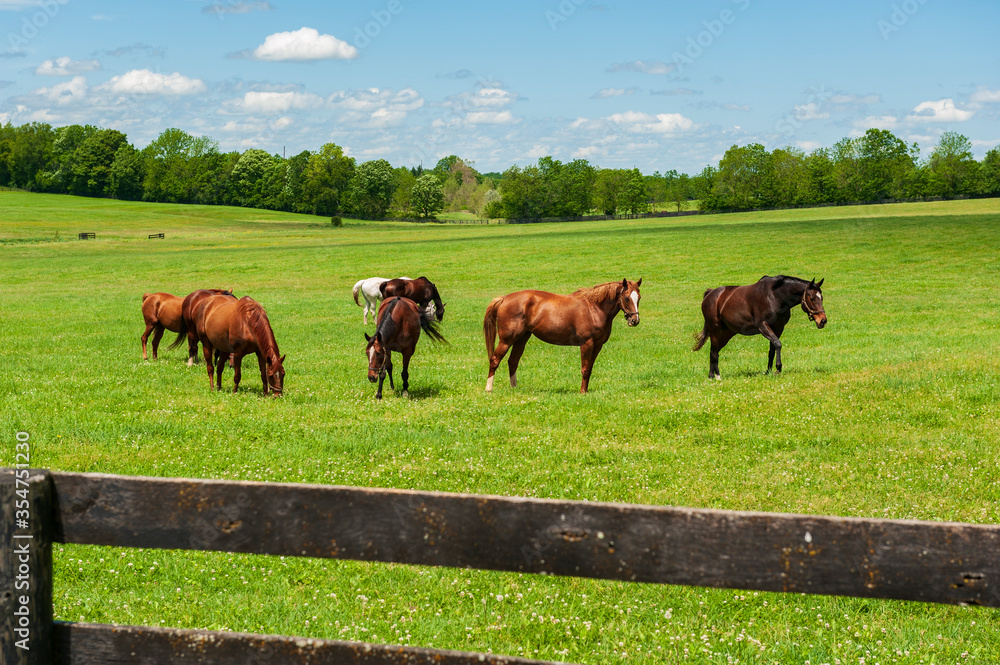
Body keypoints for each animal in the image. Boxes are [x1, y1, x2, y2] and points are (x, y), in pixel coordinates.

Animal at [482, 276, 640, 392]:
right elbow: (585, 369)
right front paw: (582, 393)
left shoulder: (598, 345)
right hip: (506, 340)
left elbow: (589, 369)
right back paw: (489, 389)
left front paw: (585, 391)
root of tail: (504, 298)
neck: (594, 308)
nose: (634, 320)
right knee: (495, 359)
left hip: (522, 338)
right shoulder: (586, 344)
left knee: (513, 361)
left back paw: (514, 388)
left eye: (638, 298)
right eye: (626, 298)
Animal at [696, 274, 828, 378]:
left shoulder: (778, 328)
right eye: (812, 298)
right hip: (714, 330)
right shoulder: (763, 326)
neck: (774, 297)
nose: (822, 321)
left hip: (726, 334)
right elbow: (778, 344)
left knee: (714, 351)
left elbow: (772, 349)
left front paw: (769, 371)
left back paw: (711, 375)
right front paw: (778, 369)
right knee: (714, 352)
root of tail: (710, 294)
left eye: (821, 297)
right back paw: (716, 376)